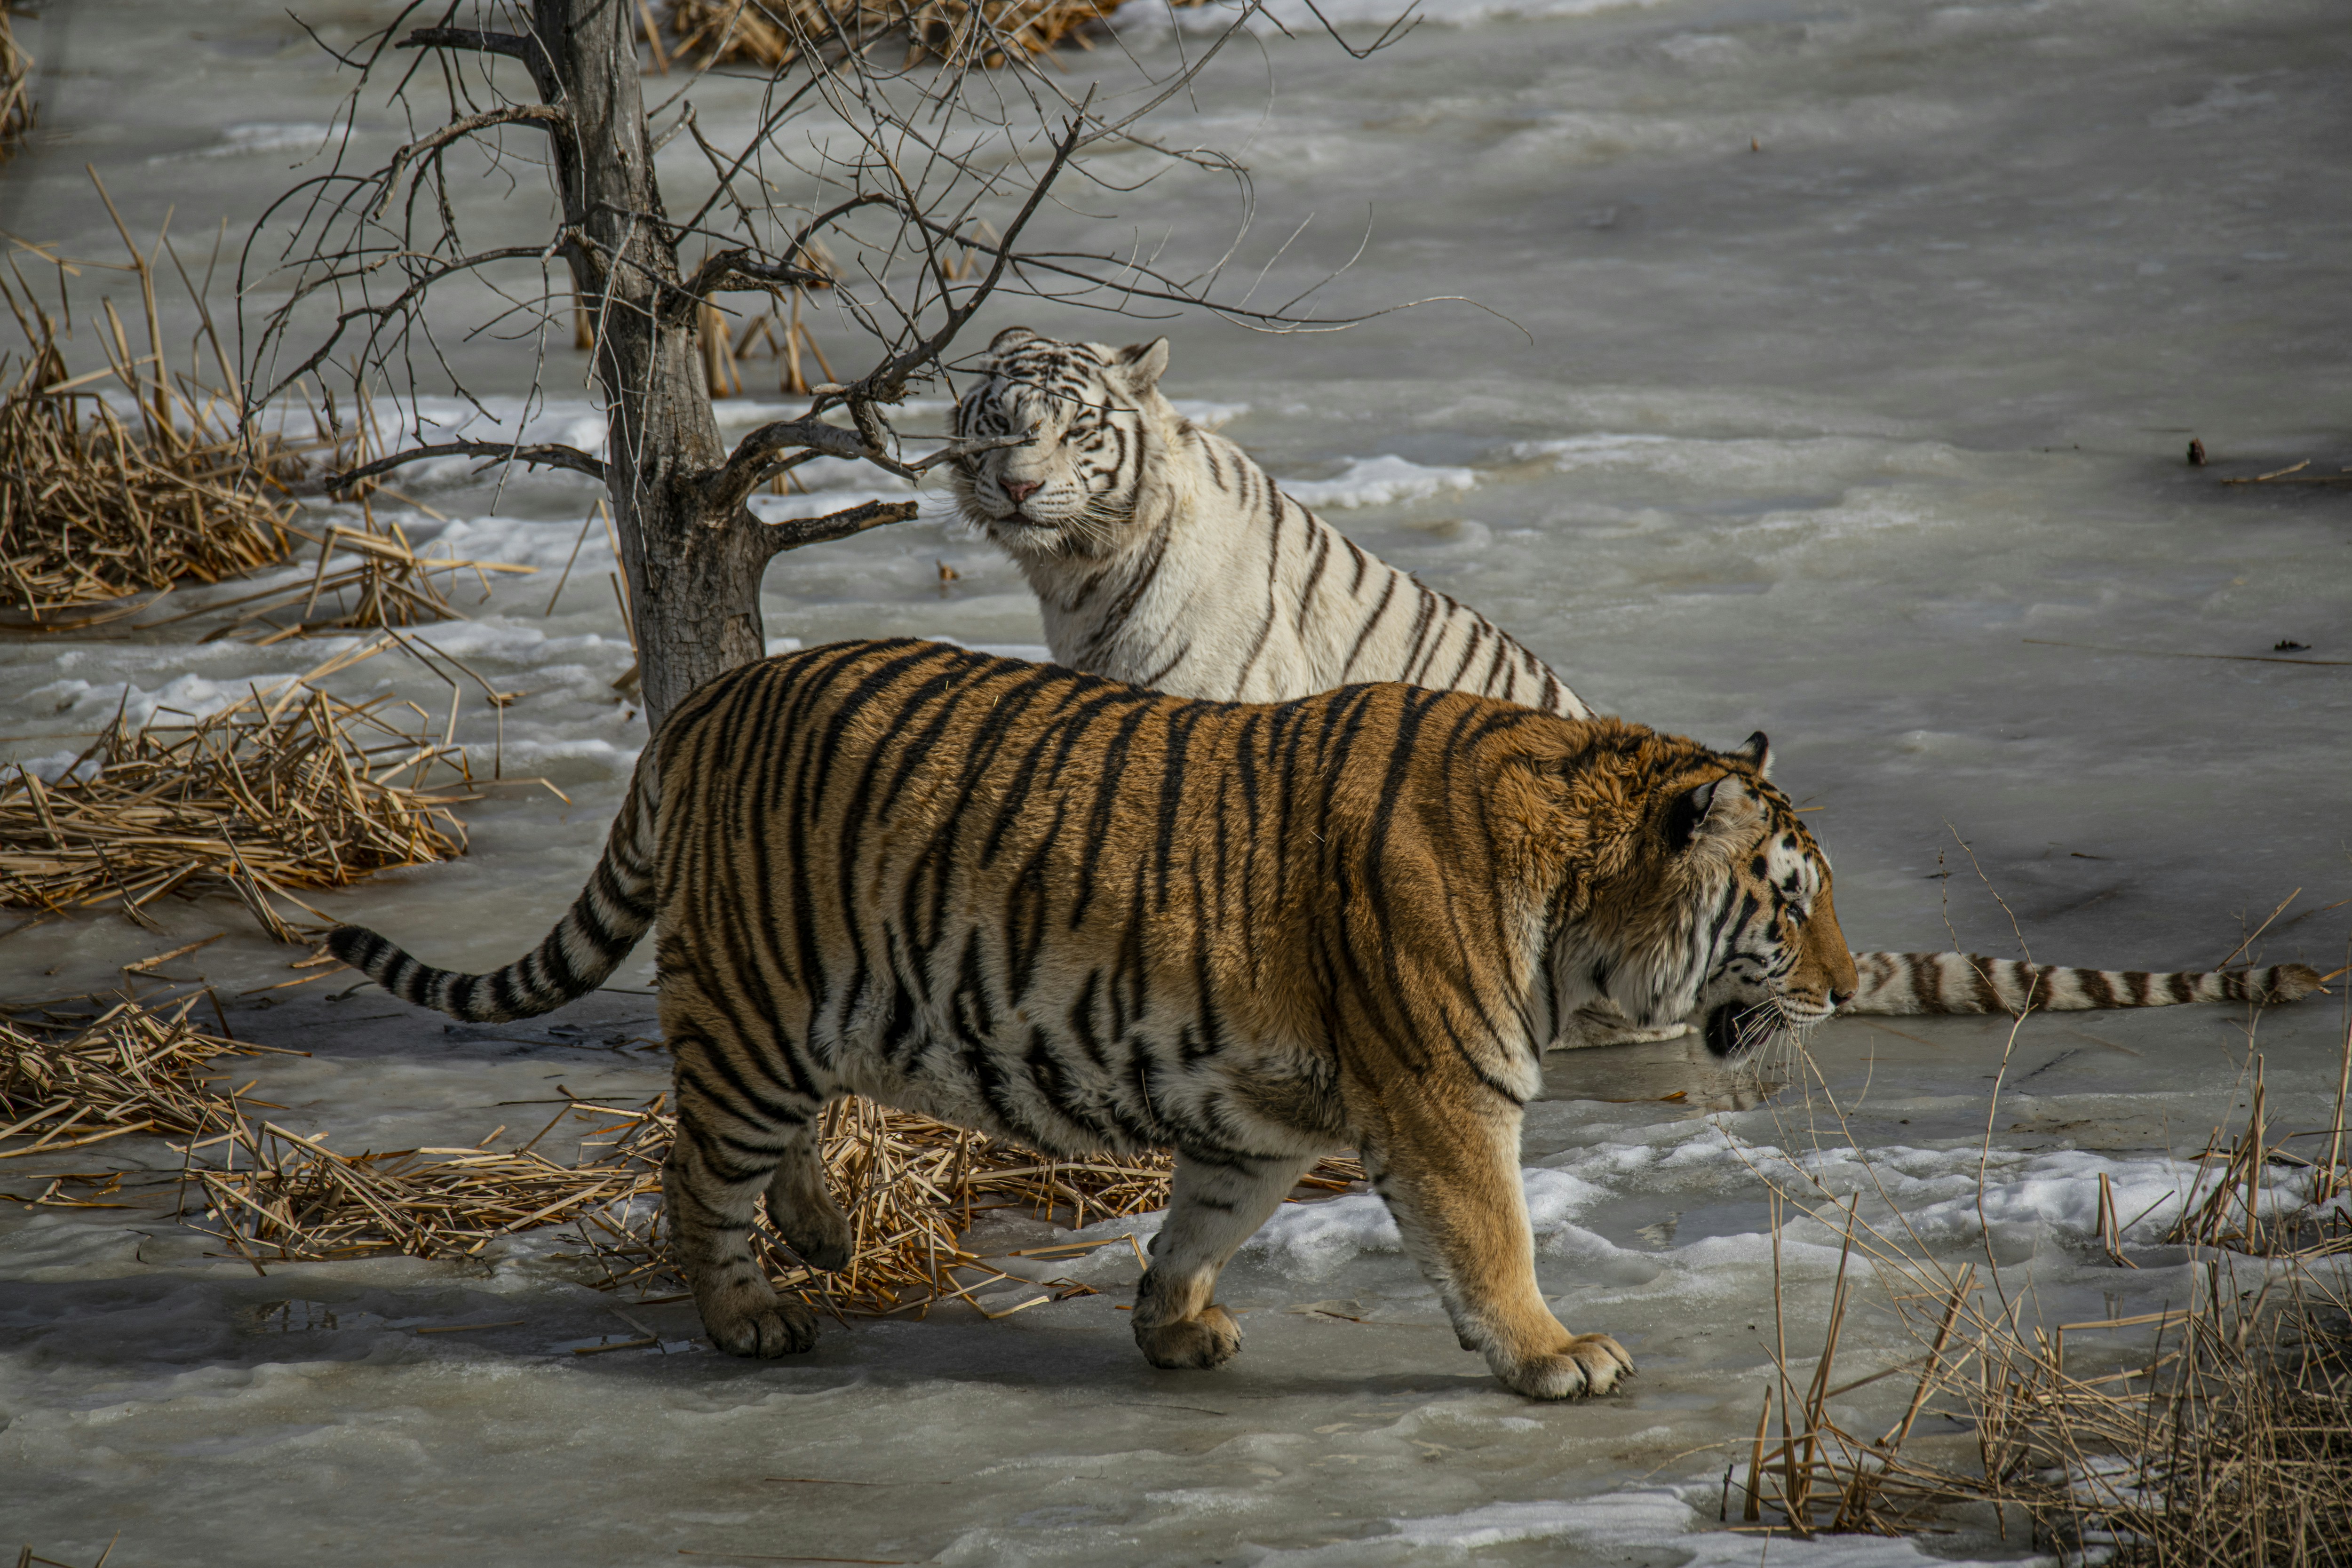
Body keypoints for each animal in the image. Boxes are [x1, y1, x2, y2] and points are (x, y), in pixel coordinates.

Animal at [331, 638, 1866, 1397]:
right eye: (1790, 906)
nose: (1850, 989)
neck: (1575, 905)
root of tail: (706, 699)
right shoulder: (1443, 1100)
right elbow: (1492, 1243)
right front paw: (1555, 1357)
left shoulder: (1262, 1116)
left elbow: (1201, 1224)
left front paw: (1169, 1329)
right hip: (754, 1007)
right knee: (691, 1165)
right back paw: (750, 1314)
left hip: (802, 1013)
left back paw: (819, 1233)